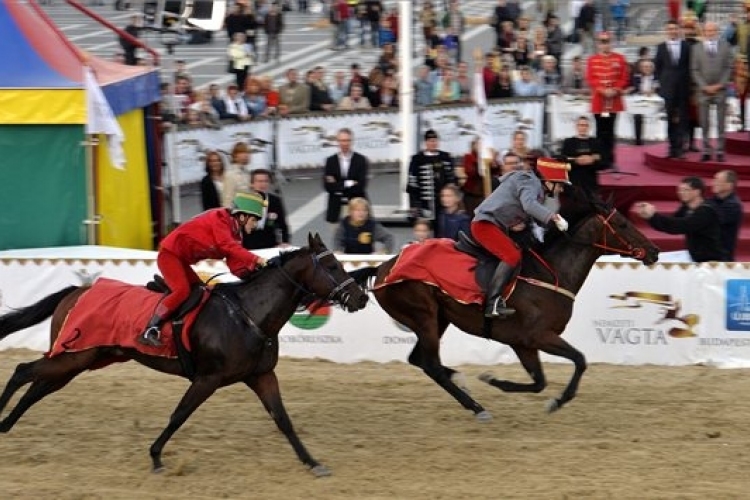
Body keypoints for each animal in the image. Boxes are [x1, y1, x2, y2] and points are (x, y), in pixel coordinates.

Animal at [0, 234, 368, 476]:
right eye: (332, 264)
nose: (360, 297)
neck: (249, 315)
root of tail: (77, 290)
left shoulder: (261, 375)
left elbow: (283, 420)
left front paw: (313, 462)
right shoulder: (208, 378)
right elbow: (179, 415)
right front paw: (156, 457)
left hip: (80, 359)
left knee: (37, 387)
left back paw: (7, 423)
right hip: (74, 355)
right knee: (22, 370)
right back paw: (2, 421)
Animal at [352, 189, 656, 420]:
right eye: (623, 224)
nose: (654, 251)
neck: (549, 274)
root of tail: (383, 268)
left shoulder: (523, 343)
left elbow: (539, 382)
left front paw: (495, 381)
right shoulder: (539, 336)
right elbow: (579, 361)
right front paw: (557, 400)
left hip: (438, 319)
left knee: (420, 360)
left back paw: (461, 381)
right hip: (423, 315)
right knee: (432, 365)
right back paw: (476, 406)